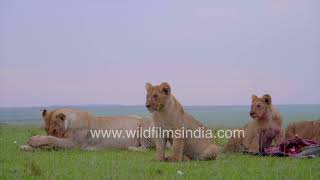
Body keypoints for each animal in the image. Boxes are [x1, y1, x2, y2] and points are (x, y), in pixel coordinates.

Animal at [21, 108, 156, 150]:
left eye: (55, 130)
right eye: (46, 130)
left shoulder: (73, 144)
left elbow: (52, 140)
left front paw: (33, 141)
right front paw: (26, 147)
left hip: (145, 123)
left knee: (148, 148)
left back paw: (131, 148)